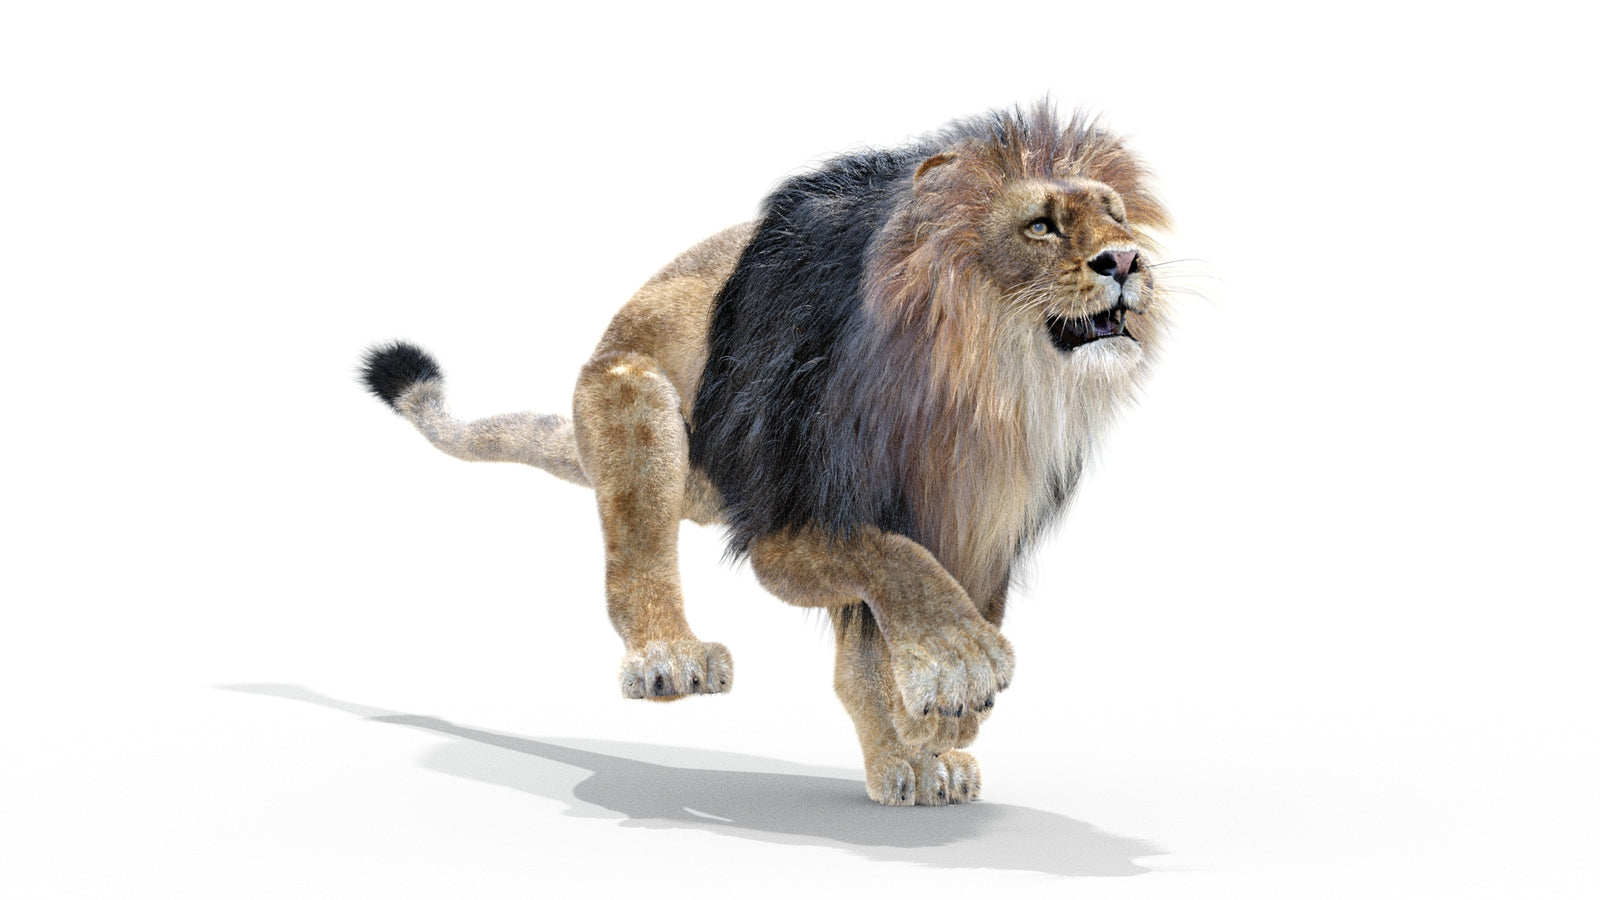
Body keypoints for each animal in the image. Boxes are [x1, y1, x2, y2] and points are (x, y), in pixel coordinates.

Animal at [359, 102, 1172, 806]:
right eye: (1040, 225)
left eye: (1116, 214)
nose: (1127, 260)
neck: (982, 383)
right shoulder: (789, 519)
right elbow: (897, 563)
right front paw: (956, 666)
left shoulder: (981, 521)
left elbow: (918, 618)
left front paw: (939, 727)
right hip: (633, 397)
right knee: (635, 561)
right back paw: (670, 657)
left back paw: (909, 767)